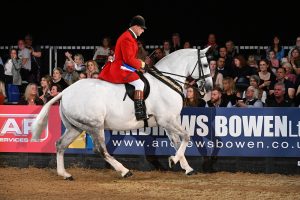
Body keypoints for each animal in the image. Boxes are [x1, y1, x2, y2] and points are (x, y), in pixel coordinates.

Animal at [31, 47, 212, 180]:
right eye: (204, 64)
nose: (209, 88)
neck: (166, 80)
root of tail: (66, 91)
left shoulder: (168, 122)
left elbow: (177, 142)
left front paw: (186, 168)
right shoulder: (167, 120)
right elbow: (186, 136)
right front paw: (174, 160)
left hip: (76, 127)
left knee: (60, 144)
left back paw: (65, 174)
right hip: (95, 125)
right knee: (100, 150)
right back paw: (125, 171)